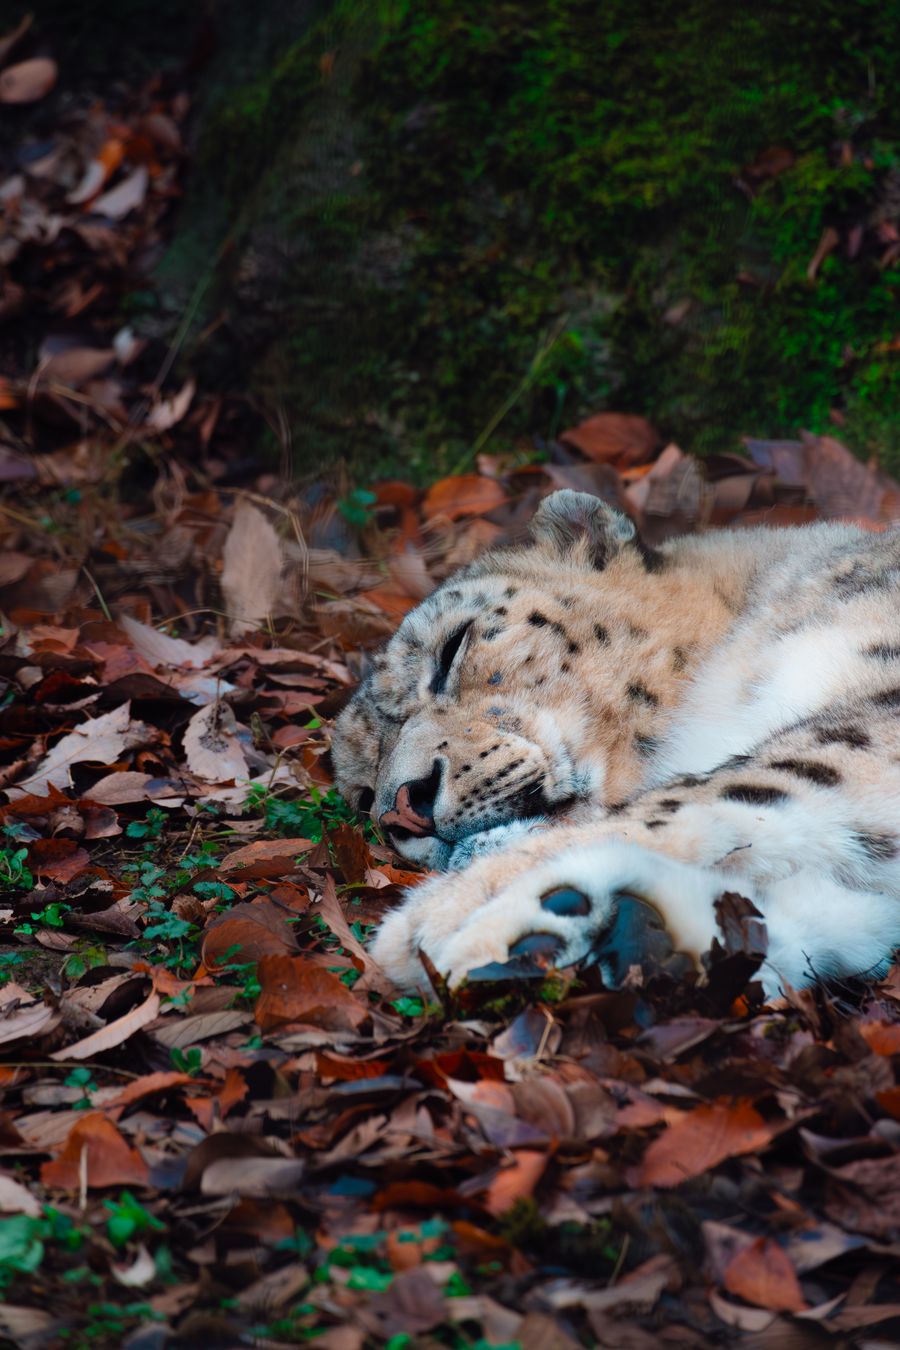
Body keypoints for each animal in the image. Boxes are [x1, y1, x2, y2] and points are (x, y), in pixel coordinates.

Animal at [332, 488, 900, 998]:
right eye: (363, 795)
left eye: (452, 647)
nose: (406, 810)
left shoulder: (872, 714)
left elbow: (713, 791)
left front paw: (446, 912)